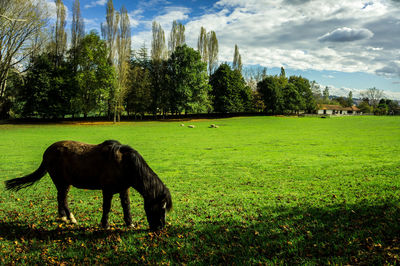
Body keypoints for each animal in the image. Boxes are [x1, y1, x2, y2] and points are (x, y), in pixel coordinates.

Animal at [3, 139, 172, 231]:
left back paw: (63, 217)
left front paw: (129, 223)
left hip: (63, 183)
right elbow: (107, 207)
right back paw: (71, 218)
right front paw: (105, 224)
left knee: (60, 198)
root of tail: (48, 152)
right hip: (62, 182)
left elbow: (126, 205)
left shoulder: (124, 189)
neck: (123, 163)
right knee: (63, 199)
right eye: (161, 207)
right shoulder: (107, 190)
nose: (160, 227)